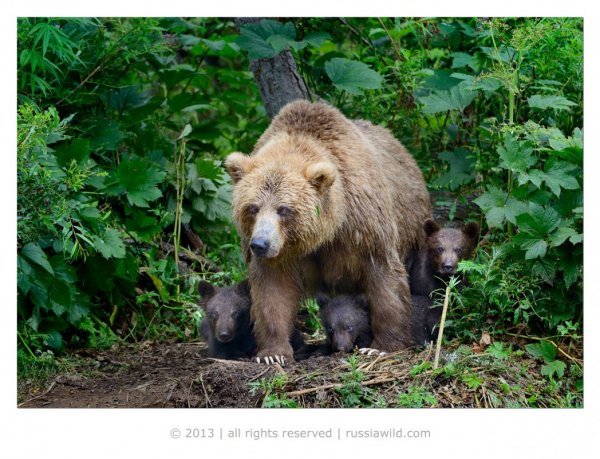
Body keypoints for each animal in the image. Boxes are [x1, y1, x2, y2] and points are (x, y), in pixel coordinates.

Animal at [226, 99, 432, 362]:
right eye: (253, 207)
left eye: (283, 209)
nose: (260, 244)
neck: (325, 232)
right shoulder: (282, 254)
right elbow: (272, 291)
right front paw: (273, 353)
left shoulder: (363, 225)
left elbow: (384, 278)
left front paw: (381, 345)